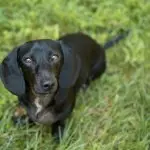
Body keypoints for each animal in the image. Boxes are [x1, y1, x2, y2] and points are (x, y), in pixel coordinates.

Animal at [0, 31, 129, 141]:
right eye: (27, 60)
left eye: (54, 56)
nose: (48, 84)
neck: (42, 99)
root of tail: (99, 45)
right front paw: (23, 120)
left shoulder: (66, 110)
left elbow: (60, 121)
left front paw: (58, 135)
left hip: (98, 70)